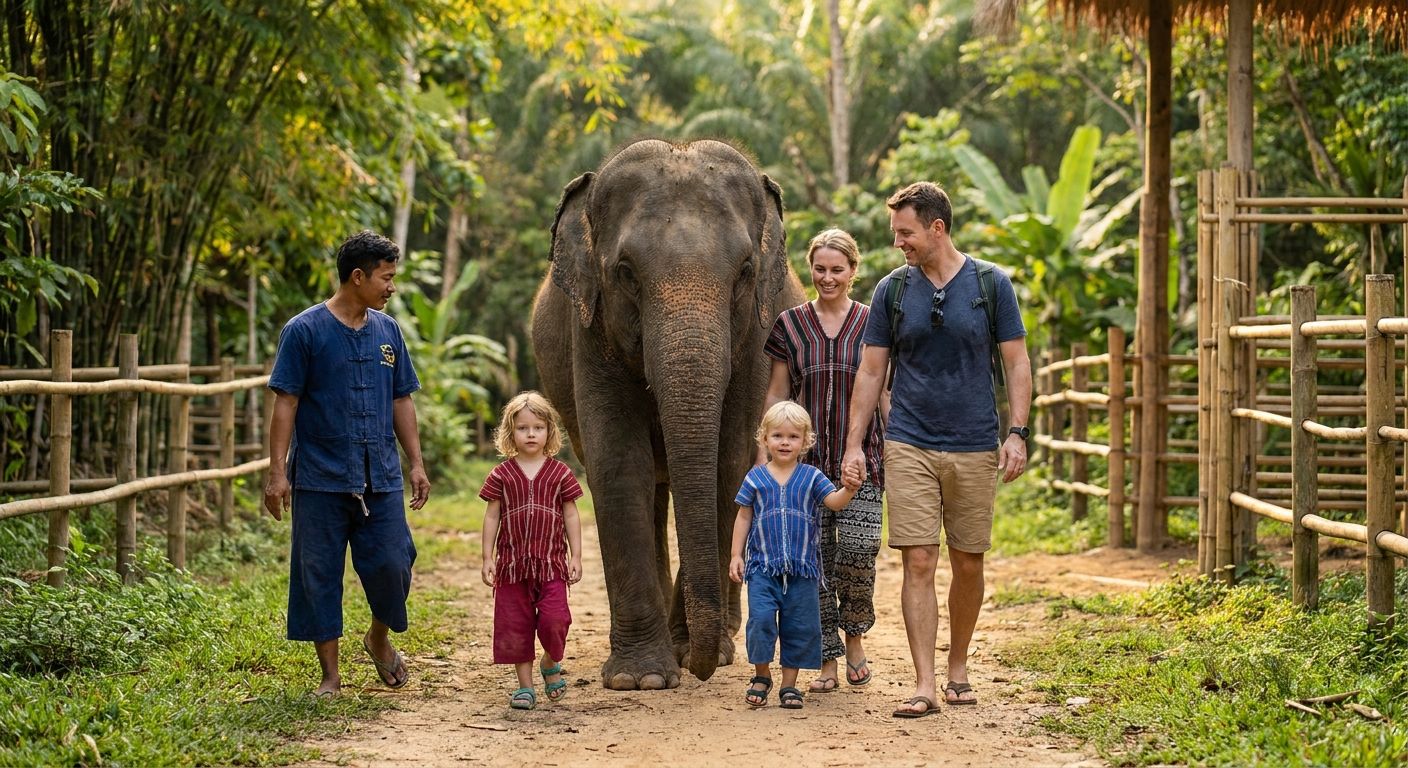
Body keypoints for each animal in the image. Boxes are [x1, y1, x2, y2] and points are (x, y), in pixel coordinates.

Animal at [531, 138, 805, 689]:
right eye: (626, 273)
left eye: (745, 271)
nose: (695, 667)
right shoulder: (589, 330)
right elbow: (619, 464)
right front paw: (643, 678)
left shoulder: (757, 339)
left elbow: (729, 464)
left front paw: (698, 652)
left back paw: (725, 635)